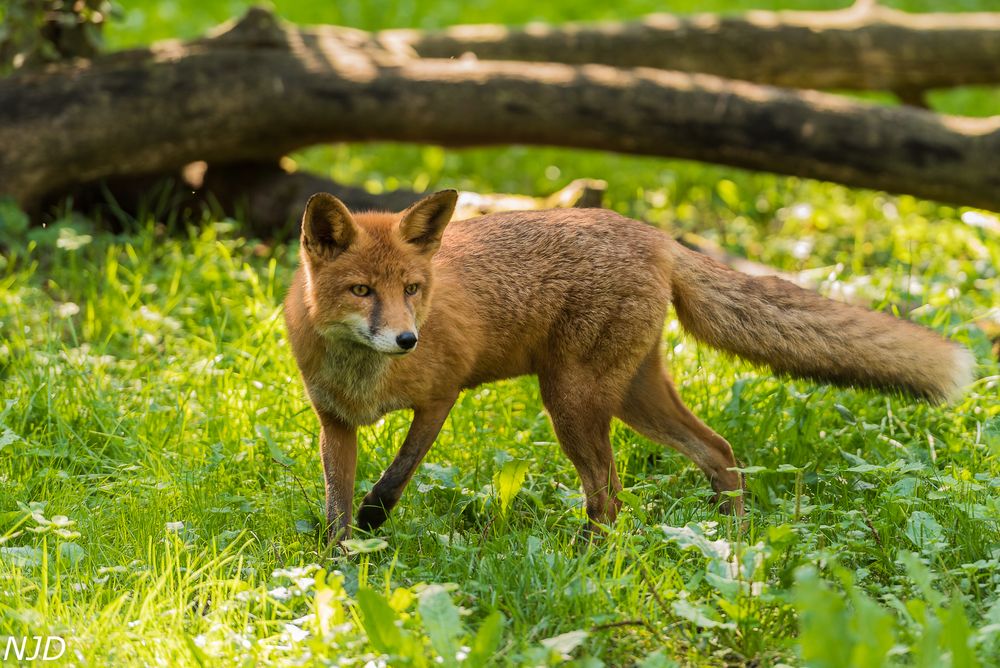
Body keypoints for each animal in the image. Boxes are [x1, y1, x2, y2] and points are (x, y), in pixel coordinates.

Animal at [286, 189, 972, 544]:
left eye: (412, 288)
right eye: (361, 291)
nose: (407, 339)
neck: (363, 374)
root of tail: (657, 236)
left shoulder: (441, 397)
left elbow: (394, 477)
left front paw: (373, 523)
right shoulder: (334, 421)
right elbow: (336, 501)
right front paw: (340, 562)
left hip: (574, 402)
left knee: (610, 497)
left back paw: (584, 560)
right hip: (630, 398)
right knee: (718, 451)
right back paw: (732, 541)